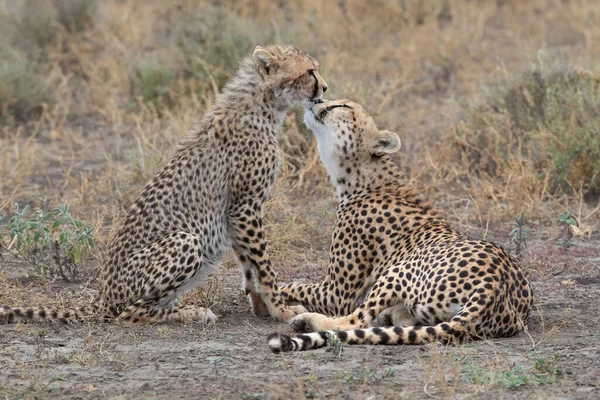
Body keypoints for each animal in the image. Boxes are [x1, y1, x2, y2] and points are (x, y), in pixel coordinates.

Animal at [0, 44, 328, 324]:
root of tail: (102, 296)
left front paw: (262, 307)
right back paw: (191, 313)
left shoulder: (236, 211)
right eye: (310, 72)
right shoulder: (245, 205)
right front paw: (282, 311)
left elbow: (250, 265)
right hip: (185, 240)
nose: (324, 88)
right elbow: (263, 265)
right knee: (129, 313)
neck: (263, 105)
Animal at [268, 98, 536, 352]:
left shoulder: (336, 294)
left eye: (342, 105)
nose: (315, 101)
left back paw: (308, 321)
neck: (364, 178)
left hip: (396, 271)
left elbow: (293, 286)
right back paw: (393, 314)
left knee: (353, 321)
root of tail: (495, 286)